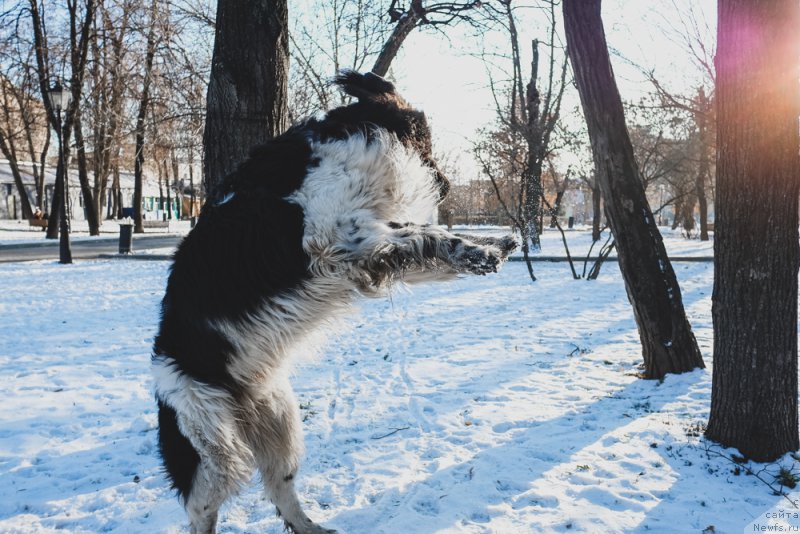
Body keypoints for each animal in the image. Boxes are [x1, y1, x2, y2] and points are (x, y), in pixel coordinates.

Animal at [153, 72, 516, 534]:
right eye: (426, 141)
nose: (449, 185)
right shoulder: (337, 236)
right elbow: (428, 234)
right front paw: (482, 251)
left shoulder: (368, 253)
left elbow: (426, 242)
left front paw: (492, 244)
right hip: (216, 448)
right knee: (201, 508)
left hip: (281, 426)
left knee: (280, 489)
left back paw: (312, 527)